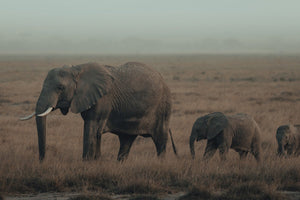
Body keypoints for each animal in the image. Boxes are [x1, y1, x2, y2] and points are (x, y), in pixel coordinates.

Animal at [21, 62, 177, 161]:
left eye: (60, 88)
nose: (42, 161)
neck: (76, 69)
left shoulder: (102, 99)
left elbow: (91, 128)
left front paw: (86, 163)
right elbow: (95, 133)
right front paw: (96, 161)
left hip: (163, 107)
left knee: (160, 140)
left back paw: (160, 164)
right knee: (126, 141)